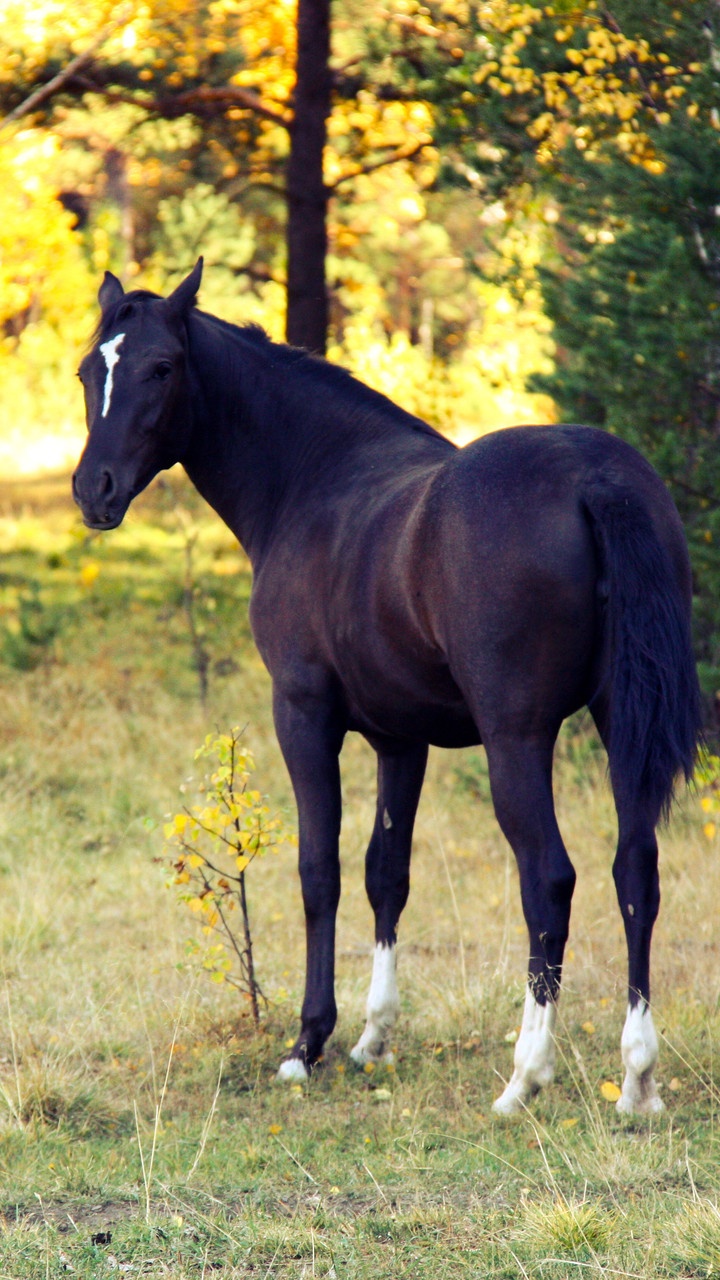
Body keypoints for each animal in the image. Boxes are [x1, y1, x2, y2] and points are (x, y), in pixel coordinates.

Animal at [73, 260, 701, 1116]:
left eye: (161, 368)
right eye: (87, 371)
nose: (94, 490)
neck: (314, 481)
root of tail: (598, 478)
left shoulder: (303, 715)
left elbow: (320, 872)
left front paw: (308, 1043)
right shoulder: (401, 738)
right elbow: (386, 874)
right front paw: (373, 1038)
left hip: (518, 740)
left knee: (549, 880)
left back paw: (524, 1075)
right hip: (618, 723)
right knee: (635, 869)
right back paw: (637, 1078)